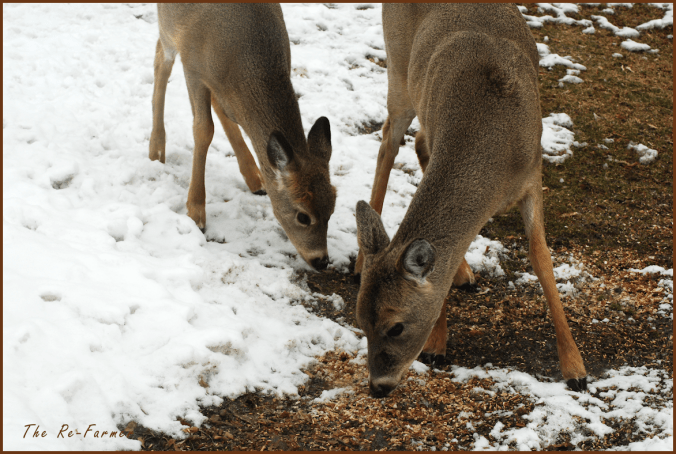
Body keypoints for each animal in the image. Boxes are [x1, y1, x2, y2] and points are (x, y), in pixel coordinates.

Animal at [149, 4, 336, 270]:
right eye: (303, 216)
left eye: (331, 209)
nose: (321, 261)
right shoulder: (193, 66)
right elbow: (203, 129)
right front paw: (196, 212)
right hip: (168, 26)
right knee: (160, 59)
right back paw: (156, 149)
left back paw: (254, 177)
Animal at [355, 3, 587, 397]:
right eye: (360, 323)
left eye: (396, 326)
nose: (378, 387)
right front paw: (436, 345)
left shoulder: (533, 175)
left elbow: (541, 257)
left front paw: (575, 367)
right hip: (398, 65)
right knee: (389, 139)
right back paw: (361, 261)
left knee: (410, 142)